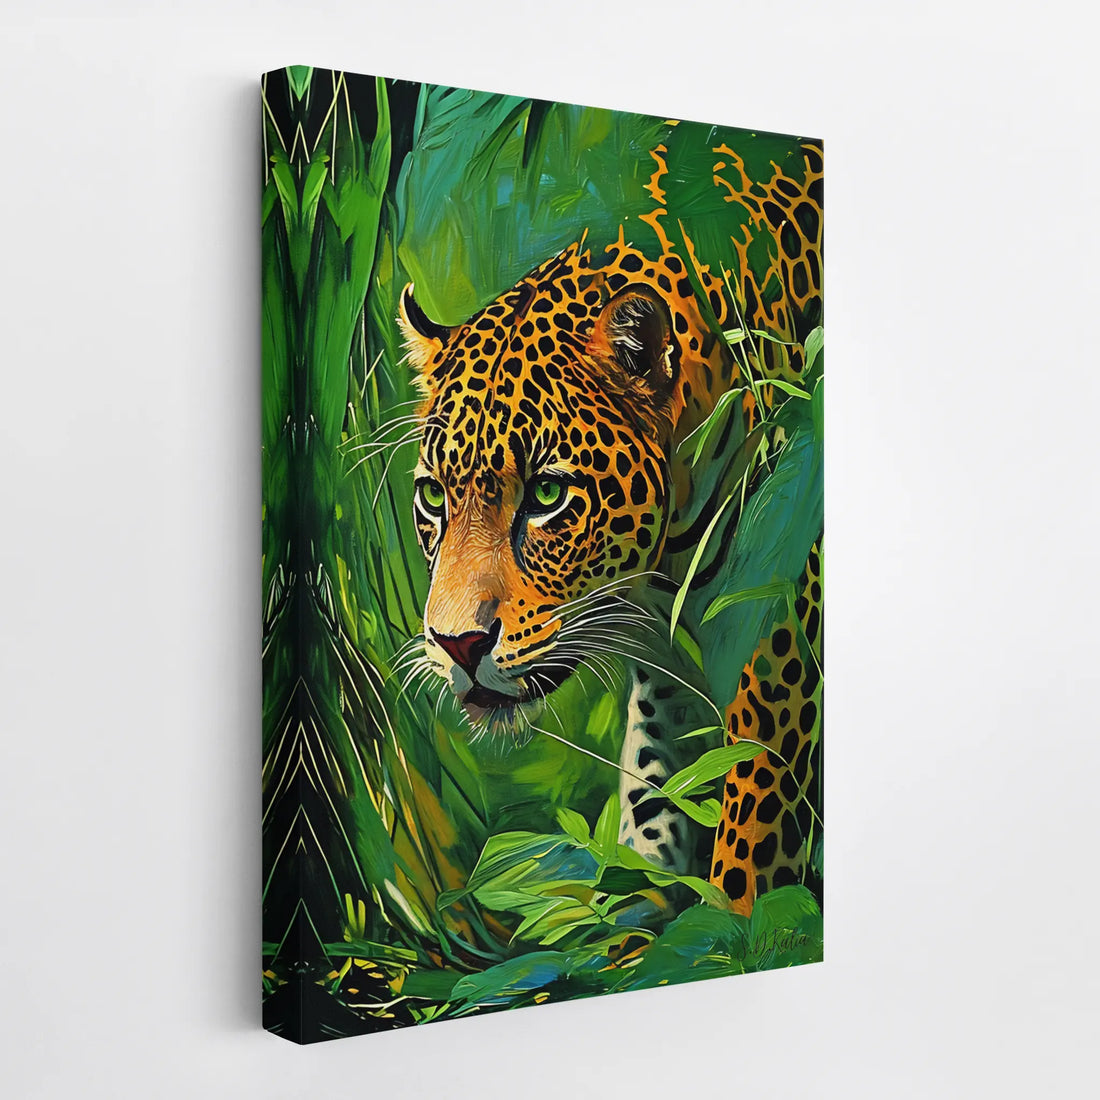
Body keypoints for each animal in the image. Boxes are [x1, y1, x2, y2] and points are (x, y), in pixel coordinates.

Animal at [397, 139, 823, 915]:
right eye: (436, 498)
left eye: (545, 492)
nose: (456, 644)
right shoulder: (667, 683)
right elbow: (654, 814)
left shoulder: (781, 654)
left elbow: (747, 867)